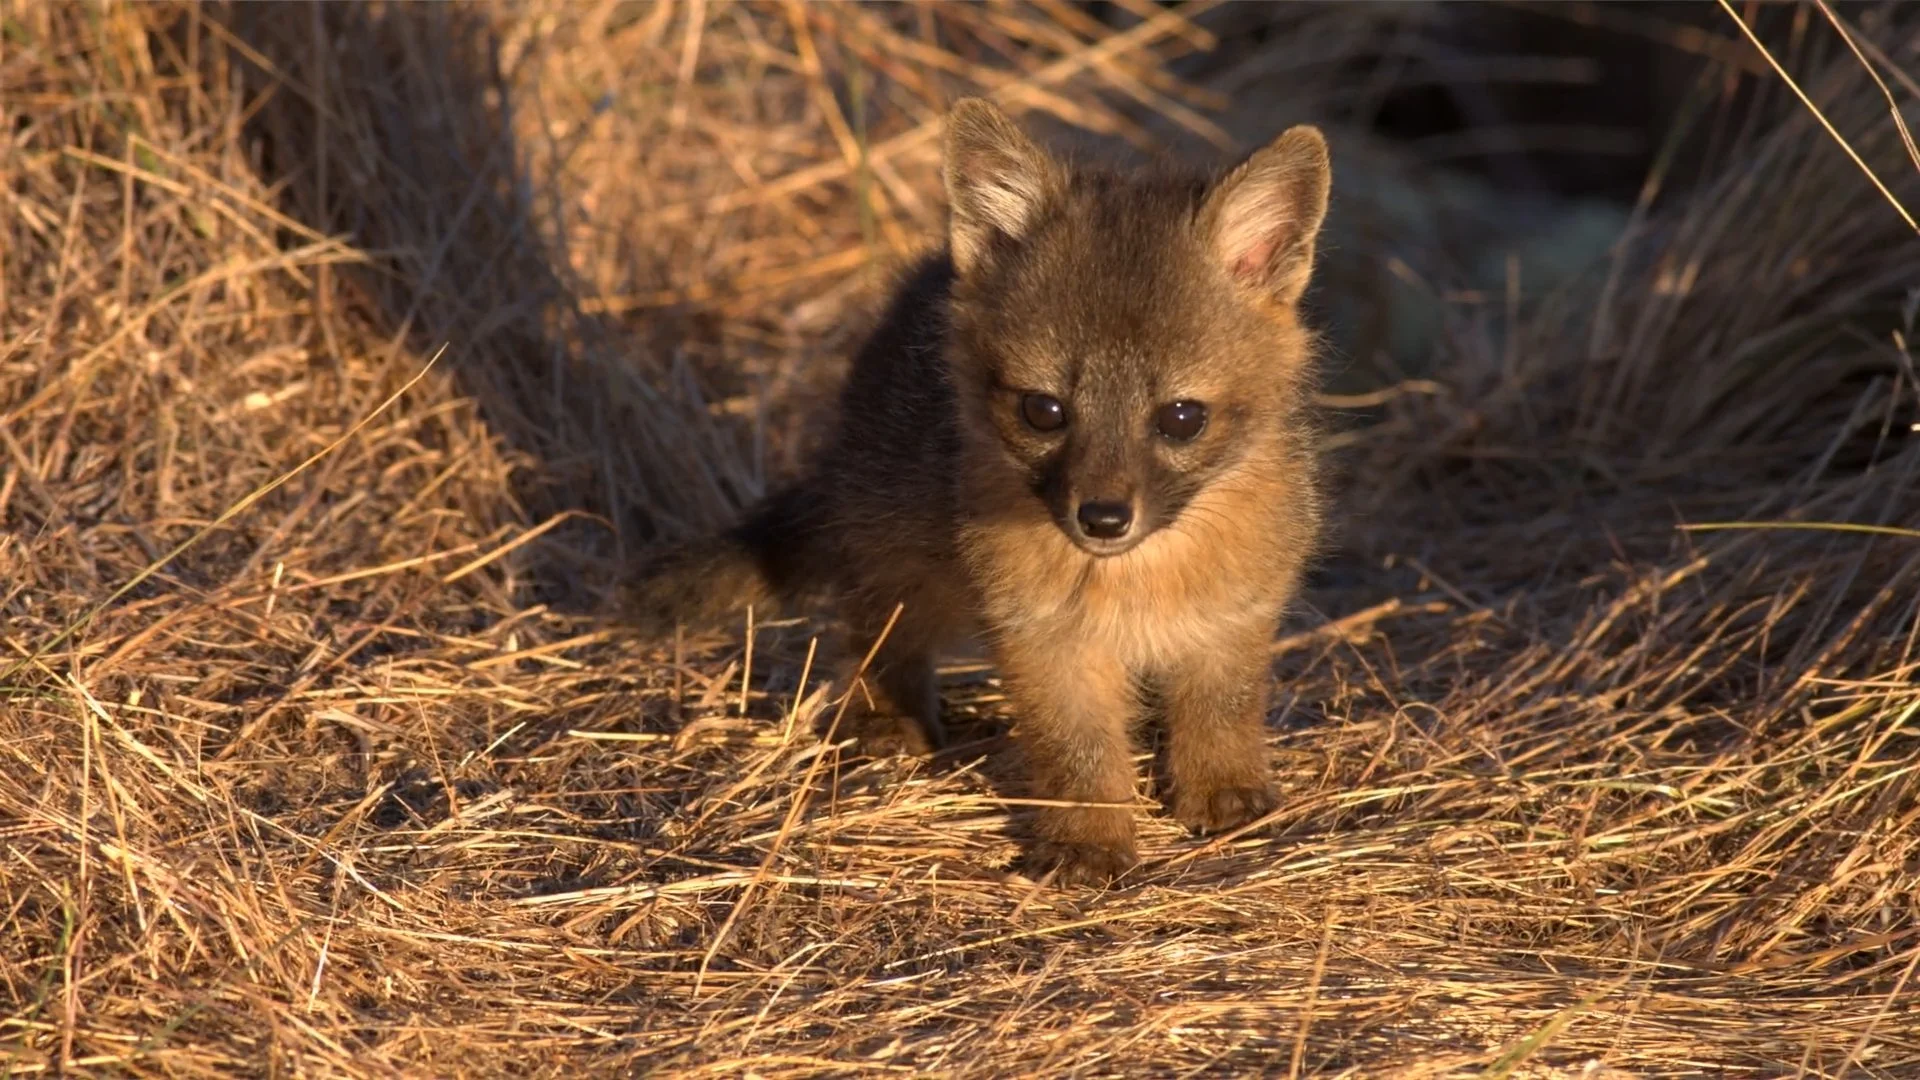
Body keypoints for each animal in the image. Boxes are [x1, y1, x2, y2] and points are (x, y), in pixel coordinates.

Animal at [625, 98, 1331, 885]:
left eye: (1182, 418)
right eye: (1043, 410)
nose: (1102, 518)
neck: (1136, 582)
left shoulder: (1234, 618)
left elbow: (1222, 713)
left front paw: (1223, 792)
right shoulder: (1044, 642)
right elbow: (1076, 752)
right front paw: (1088, 840)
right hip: (903, 565)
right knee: (873, 627)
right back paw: (886, 718)